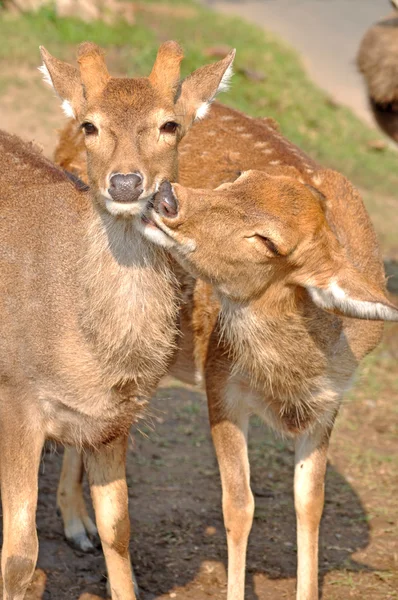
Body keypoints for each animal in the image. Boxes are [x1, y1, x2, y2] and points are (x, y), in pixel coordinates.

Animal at [0, 42, 235, 600]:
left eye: (170, 124)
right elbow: (19, 556)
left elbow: (119, 528)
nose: (126, 182)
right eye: (89, 125)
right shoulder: (14, 396)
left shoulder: (114, 421)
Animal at [139, 164, 398, 600]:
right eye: (239, 178)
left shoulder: (328, 404)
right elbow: (239, 504)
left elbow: (311, 500)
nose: (167, 197)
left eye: (268, 242)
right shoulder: (219, 379)